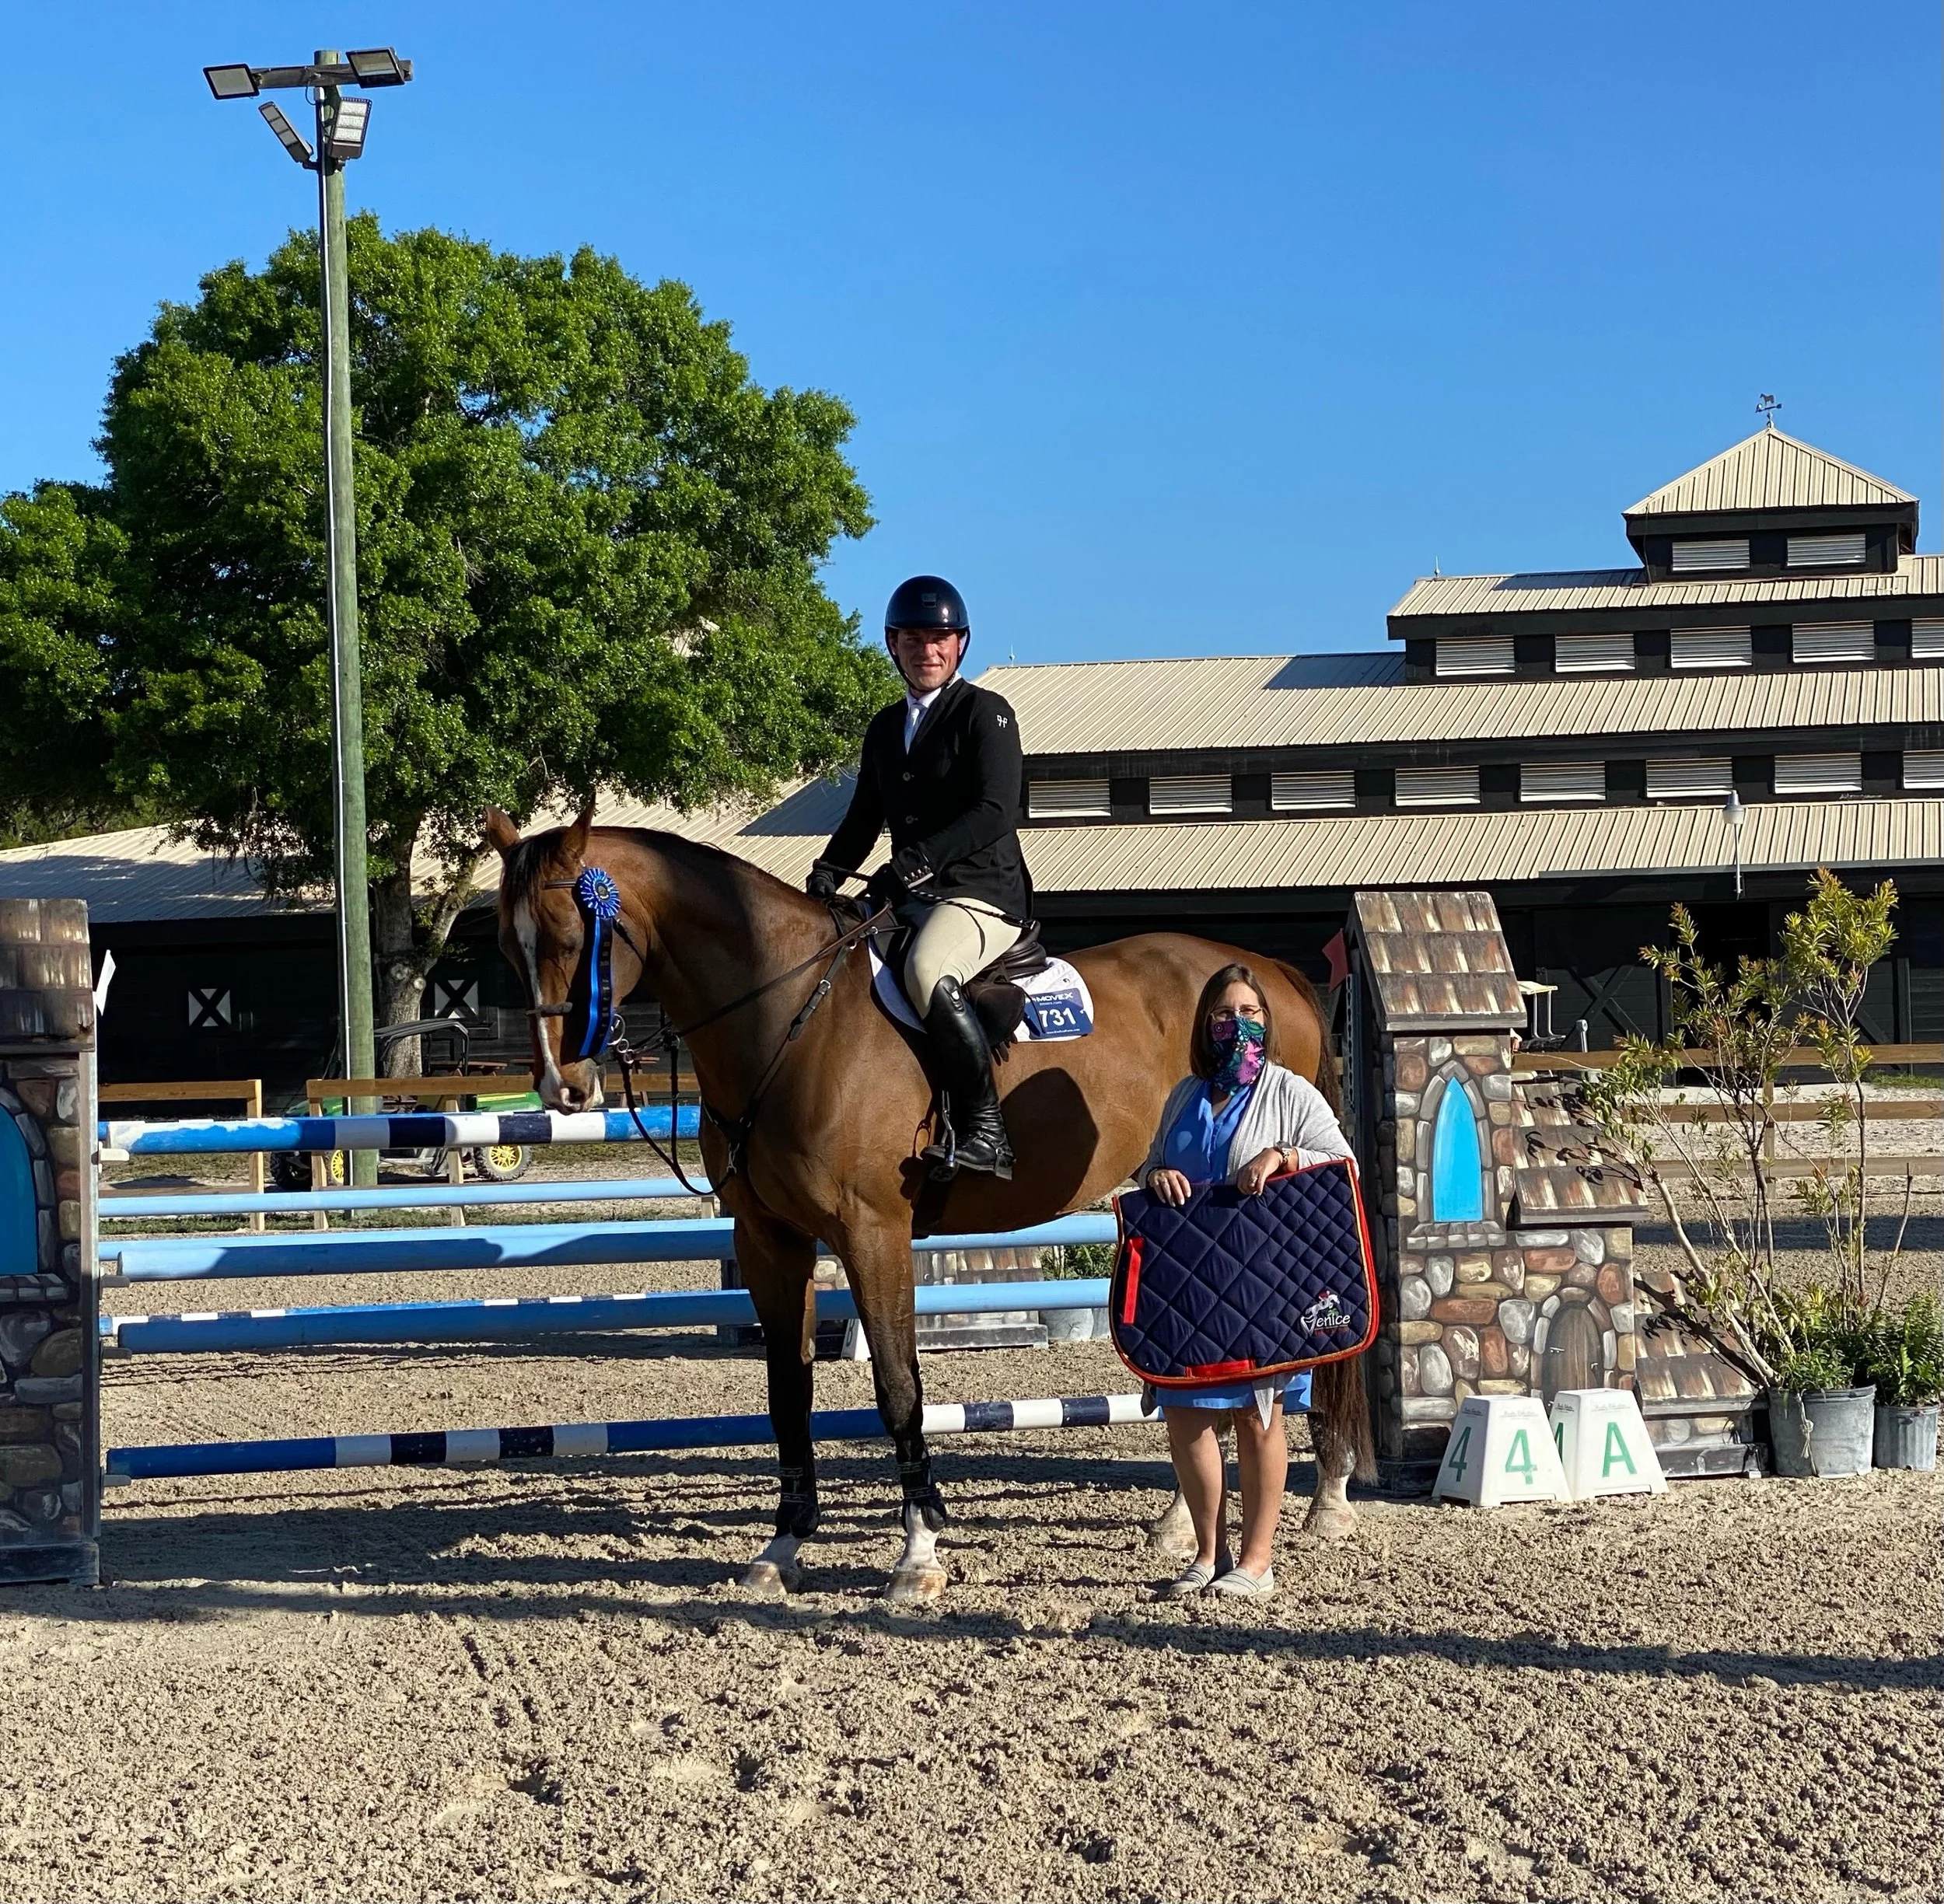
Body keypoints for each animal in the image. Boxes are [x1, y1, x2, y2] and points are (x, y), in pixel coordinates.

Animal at [486, 805, 1375, 1602]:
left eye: (573, 940)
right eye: (506, 948)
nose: (562, 1089)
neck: (789, 1017)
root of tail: (1265, 968)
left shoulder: (872, 1232)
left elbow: (898, 1387)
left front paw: (917, 1555)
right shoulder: (769, 1238)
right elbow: (787, 1393)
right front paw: (782, 1547)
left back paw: (1323, 1502)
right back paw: (1181, 1524)